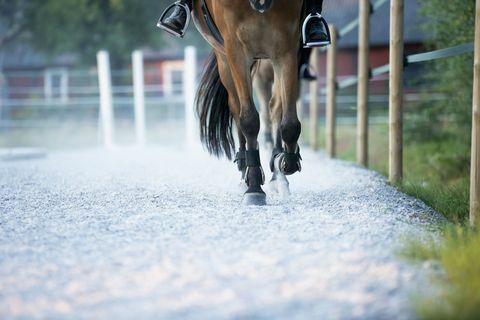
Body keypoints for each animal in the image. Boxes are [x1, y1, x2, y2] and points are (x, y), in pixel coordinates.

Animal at [192, 0, 302, 205]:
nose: (261, 4)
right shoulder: (236, 49)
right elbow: (249, 120)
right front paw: (254, 185)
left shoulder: (287, 47)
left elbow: (288, 119)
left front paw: (285, 160)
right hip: (224, 60)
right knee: (236, 109)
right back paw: (245, 168)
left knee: (274, 106)